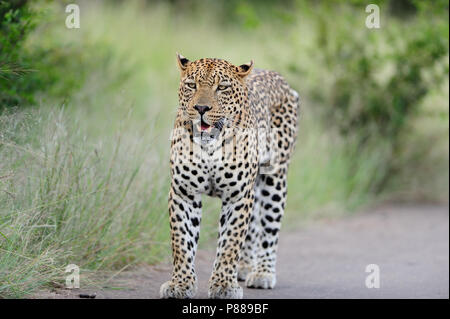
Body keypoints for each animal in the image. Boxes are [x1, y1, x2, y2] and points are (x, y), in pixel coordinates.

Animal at [160, 53, 300, 300]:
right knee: (253, 225)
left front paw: (224, 285)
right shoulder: (184, 194)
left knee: (269, 228)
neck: (210, 146)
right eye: (192, 85)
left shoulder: (238, 196)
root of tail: (281, 80)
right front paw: (180, 284)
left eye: (222, 87)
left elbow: (230, 243)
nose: (201, 107)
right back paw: (244, 267)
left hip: (274, 179)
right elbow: (181, 242)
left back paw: (262, 272)